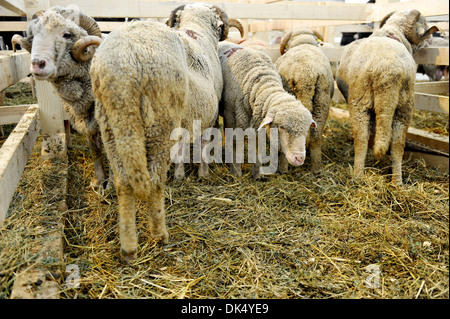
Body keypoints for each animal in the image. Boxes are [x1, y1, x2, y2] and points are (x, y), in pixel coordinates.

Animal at [11, 5, 105, 188]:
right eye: (33, 35)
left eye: (67, 34)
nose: (37, 64)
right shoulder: (87, 121)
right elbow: (94, 148)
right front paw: (100, 181)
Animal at [89, 2, 229, 262]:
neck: (198, 32)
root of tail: (124, 62)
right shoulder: (210, 116)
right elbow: (204, 145)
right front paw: (203, 174)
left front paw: (183, 173)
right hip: (159, 119)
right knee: (154, 181)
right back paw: (159, 235)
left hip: (112, 122)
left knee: (124, 184)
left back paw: (129, 247)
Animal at [218, 40, 316, 178]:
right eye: (282, 127)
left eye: (307, 129)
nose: (299, 159)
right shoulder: (232, 118)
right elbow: (236, 147)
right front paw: (236, 173)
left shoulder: (259, 125)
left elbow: (258, 150)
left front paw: (258, 175)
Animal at [274, 26, 334, 174]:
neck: (303, 42)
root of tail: (306, 75)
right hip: (322, 99)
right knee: (316, 135)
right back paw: (316, 168)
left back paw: (283, 169)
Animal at [338, 9, 440, 185]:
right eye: (425, 24)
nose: (432, 39)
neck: (392, 32)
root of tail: (386, 71)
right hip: (397, 105)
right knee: (386, 141)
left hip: (371, 102)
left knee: (373, 139)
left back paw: (374, 178)